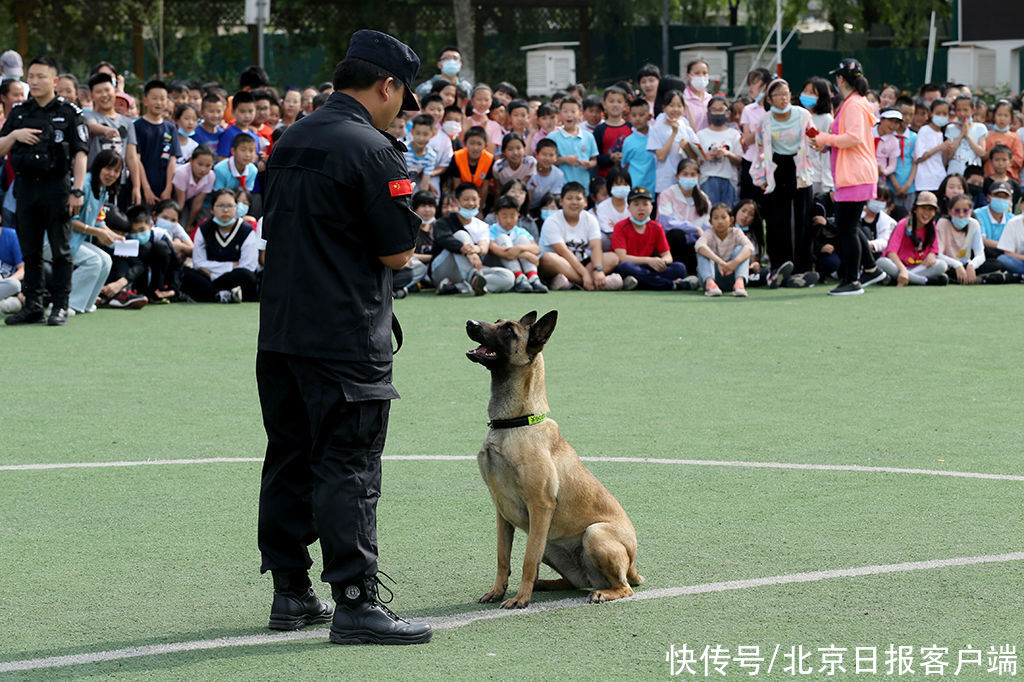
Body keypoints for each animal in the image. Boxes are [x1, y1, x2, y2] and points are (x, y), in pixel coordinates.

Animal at [468, 311, 643, 606]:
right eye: (497, 321)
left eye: (508, 330)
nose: (470, 323)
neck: (514, 423)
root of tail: (633, 566)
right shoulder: (502, 511)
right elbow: (503, 558)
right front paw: (498, 591)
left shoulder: (540, 505)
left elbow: (527, 560)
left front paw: (520, 599)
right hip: (549, 544)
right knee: (572, 581)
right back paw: (544, 584)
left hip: (593, 534)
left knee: (623, 586)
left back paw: (602, 593)